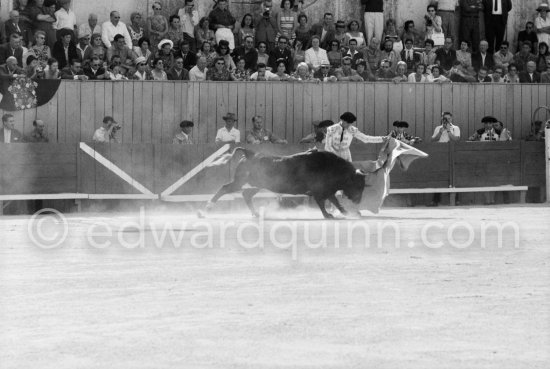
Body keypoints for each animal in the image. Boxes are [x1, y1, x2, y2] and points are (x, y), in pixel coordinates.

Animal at [204, 145, 370, 217]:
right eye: (358, 185)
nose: (358, 201)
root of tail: (250, 153)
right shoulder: (319, 191)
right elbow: (323, 202)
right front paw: (328, 215)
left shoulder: (328, 190)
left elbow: (335, 201)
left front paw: (346, 212)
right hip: (241, 181)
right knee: (225, 188)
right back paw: (206, 209)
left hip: (258, 184)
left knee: (246, 194)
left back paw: (256, 213)